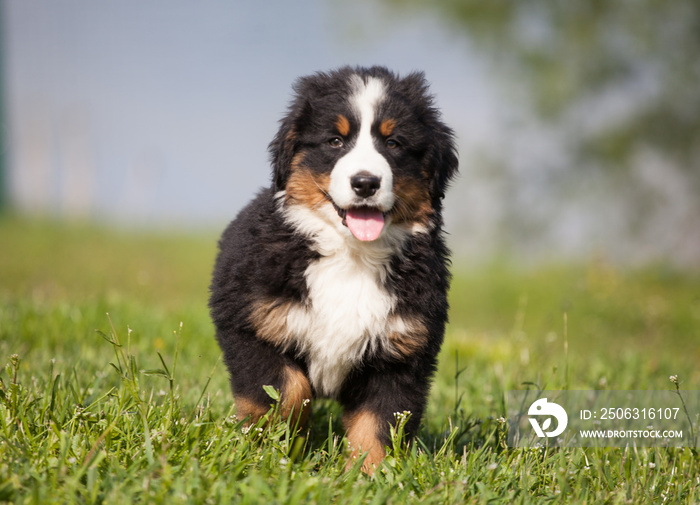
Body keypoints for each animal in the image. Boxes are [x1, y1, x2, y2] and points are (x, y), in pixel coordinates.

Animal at [211, 65, 456, 470]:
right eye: (335, 141)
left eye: (394, 143)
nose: (365, 182)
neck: (351, 255)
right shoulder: (252, 325)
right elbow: (286, 390)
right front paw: (274, 451)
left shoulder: (401, 352)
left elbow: (378, 423)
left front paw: (370, 474)